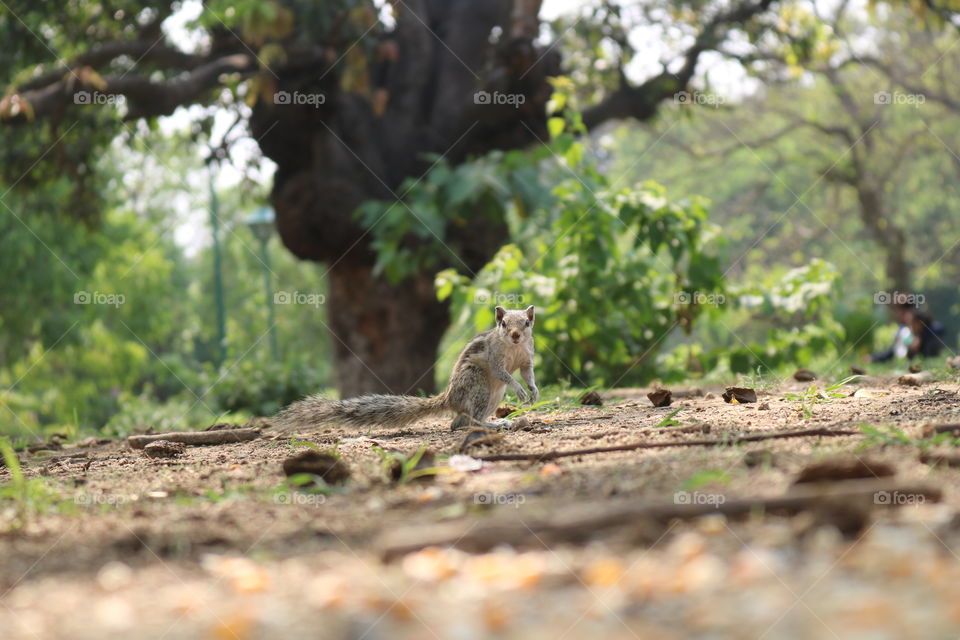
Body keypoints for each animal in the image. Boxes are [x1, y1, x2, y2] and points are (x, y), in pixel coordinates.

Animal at [274, 305, 539, 431]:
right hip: (478, 383)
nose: (515, 335)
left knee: (461, 422)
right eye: (503, 324)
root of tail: (449, 398)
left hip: (494, 394)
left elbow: (528, 373)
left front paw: (533, 390)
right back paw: (493, 424)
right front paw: (519, 388)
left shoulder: (526, 358)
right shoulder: (494, 359)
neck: (514, 348)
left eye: (527, 323)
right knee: (465, 422)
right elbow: (503, 373)